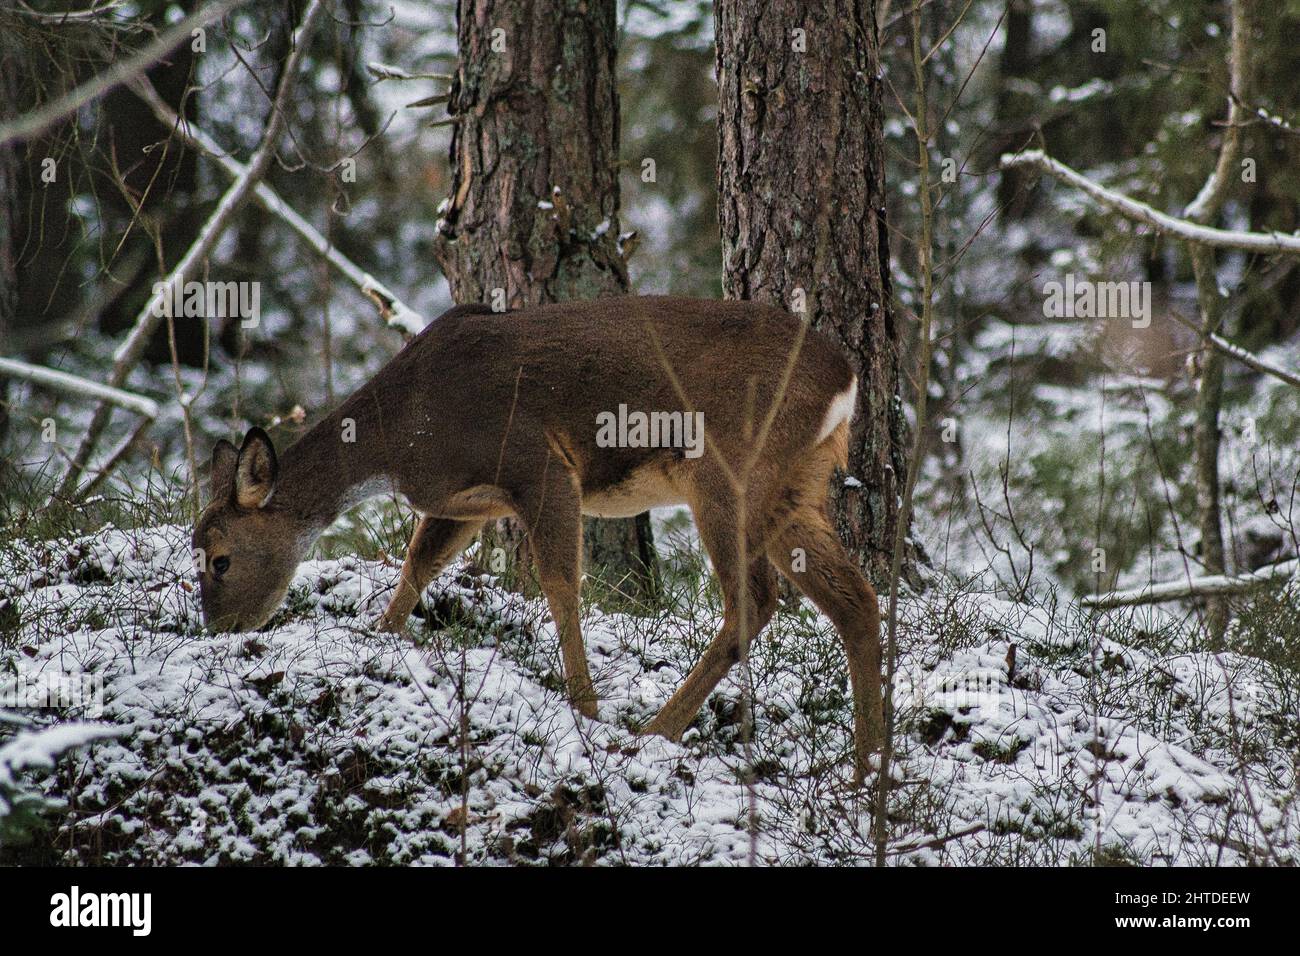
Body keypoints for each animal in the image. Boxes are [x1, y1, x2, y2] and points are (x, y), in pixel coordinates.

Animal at [192, 296, 886, 784]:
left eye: (220, 559)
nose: (218, 629)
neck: (402, 437)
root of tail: (846, 377)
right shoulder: (464, 500)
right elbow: (418, 565)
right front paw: (380, 637)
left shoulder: (540, 463)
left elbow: (559, 584)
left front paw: (586, 709)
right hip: (796, 485)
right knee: (855, 598)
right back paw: (865, 774)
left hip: (728, 469)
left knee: (755, 599)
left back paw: (654, 731)